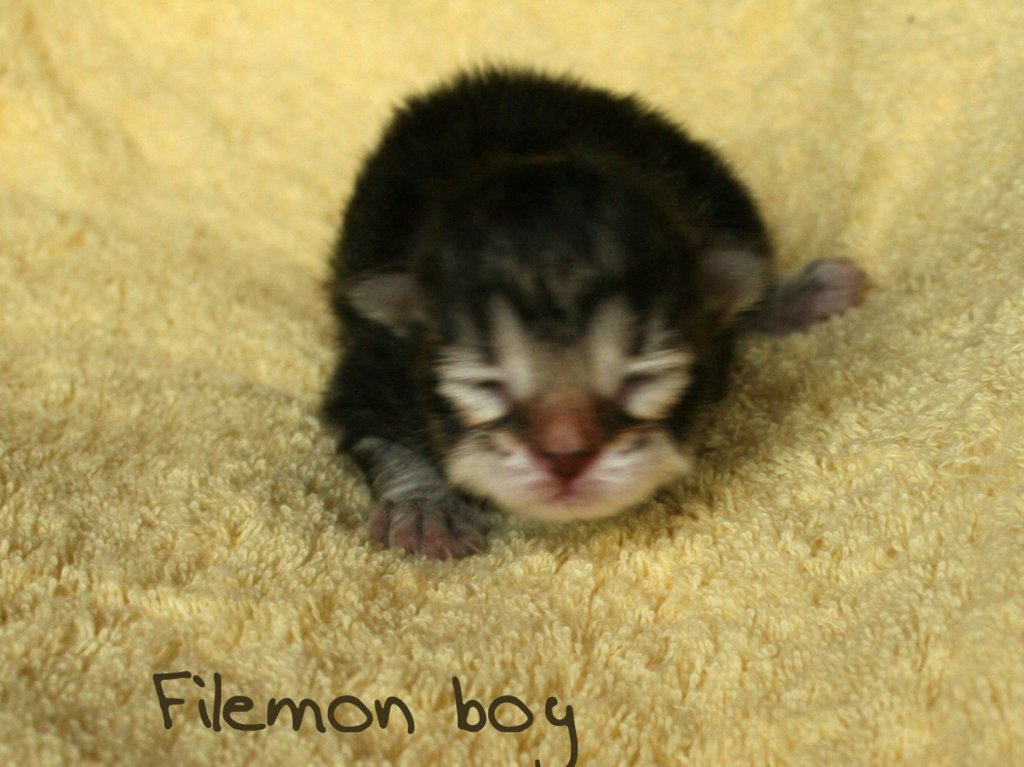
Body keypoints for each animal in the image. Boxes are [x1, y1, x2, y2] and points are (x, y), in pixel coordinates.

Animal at [322, 67, 866, 558]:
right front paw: (426, 509)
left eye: (642, 379)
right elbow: (380, 429)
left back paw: (800, 296)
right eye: (485, 385)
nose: (567, 457)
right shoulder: (377, 360)